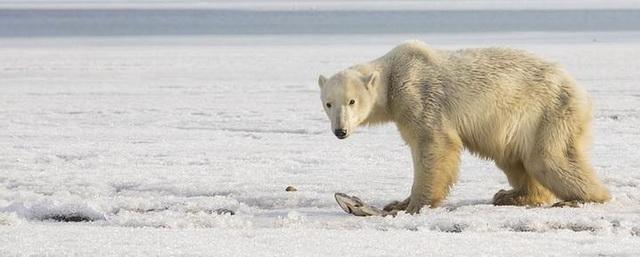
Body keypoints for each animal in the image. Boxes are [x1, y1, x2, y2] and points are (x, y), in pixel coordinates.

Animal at [318, 39, 608, 212]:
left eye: (352, 101)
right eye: (328, 103)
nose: (340, 131)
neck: (393, 75)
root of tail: (579, 90)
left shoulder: (420, 96)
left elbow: (434, 145)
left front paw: (410, 206)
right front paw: (398, 202)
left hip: (547, 112)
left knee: (548, 159)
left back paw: (582, 199)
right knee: (513, 158)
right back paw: (512, 195)